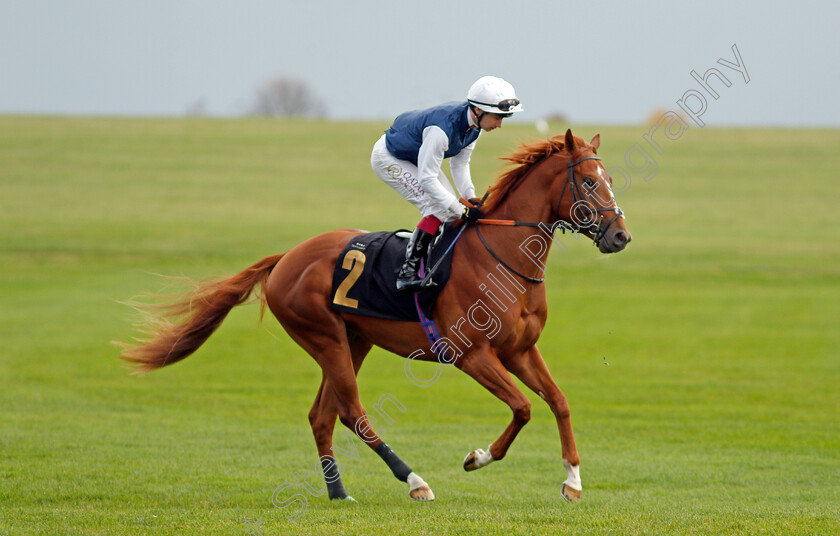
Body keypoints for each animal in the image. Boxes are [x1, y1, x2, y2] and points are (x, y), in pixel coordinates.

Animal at [118, 129, 632, 502]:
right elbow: (523, 407)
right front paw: (477, 457)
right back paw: (415, 481)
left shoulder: (521, 349)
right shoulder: (470, 354)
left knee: (322, 416)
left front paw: (573, 481)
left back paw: (338, 492)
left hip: (353, 341)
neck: (503, 257)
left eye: (608, 179)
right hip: (324, 338)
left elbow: (558, 401)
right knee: (352, 413)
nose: (620, 236)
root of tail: (287, 257)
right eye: (589, 182)